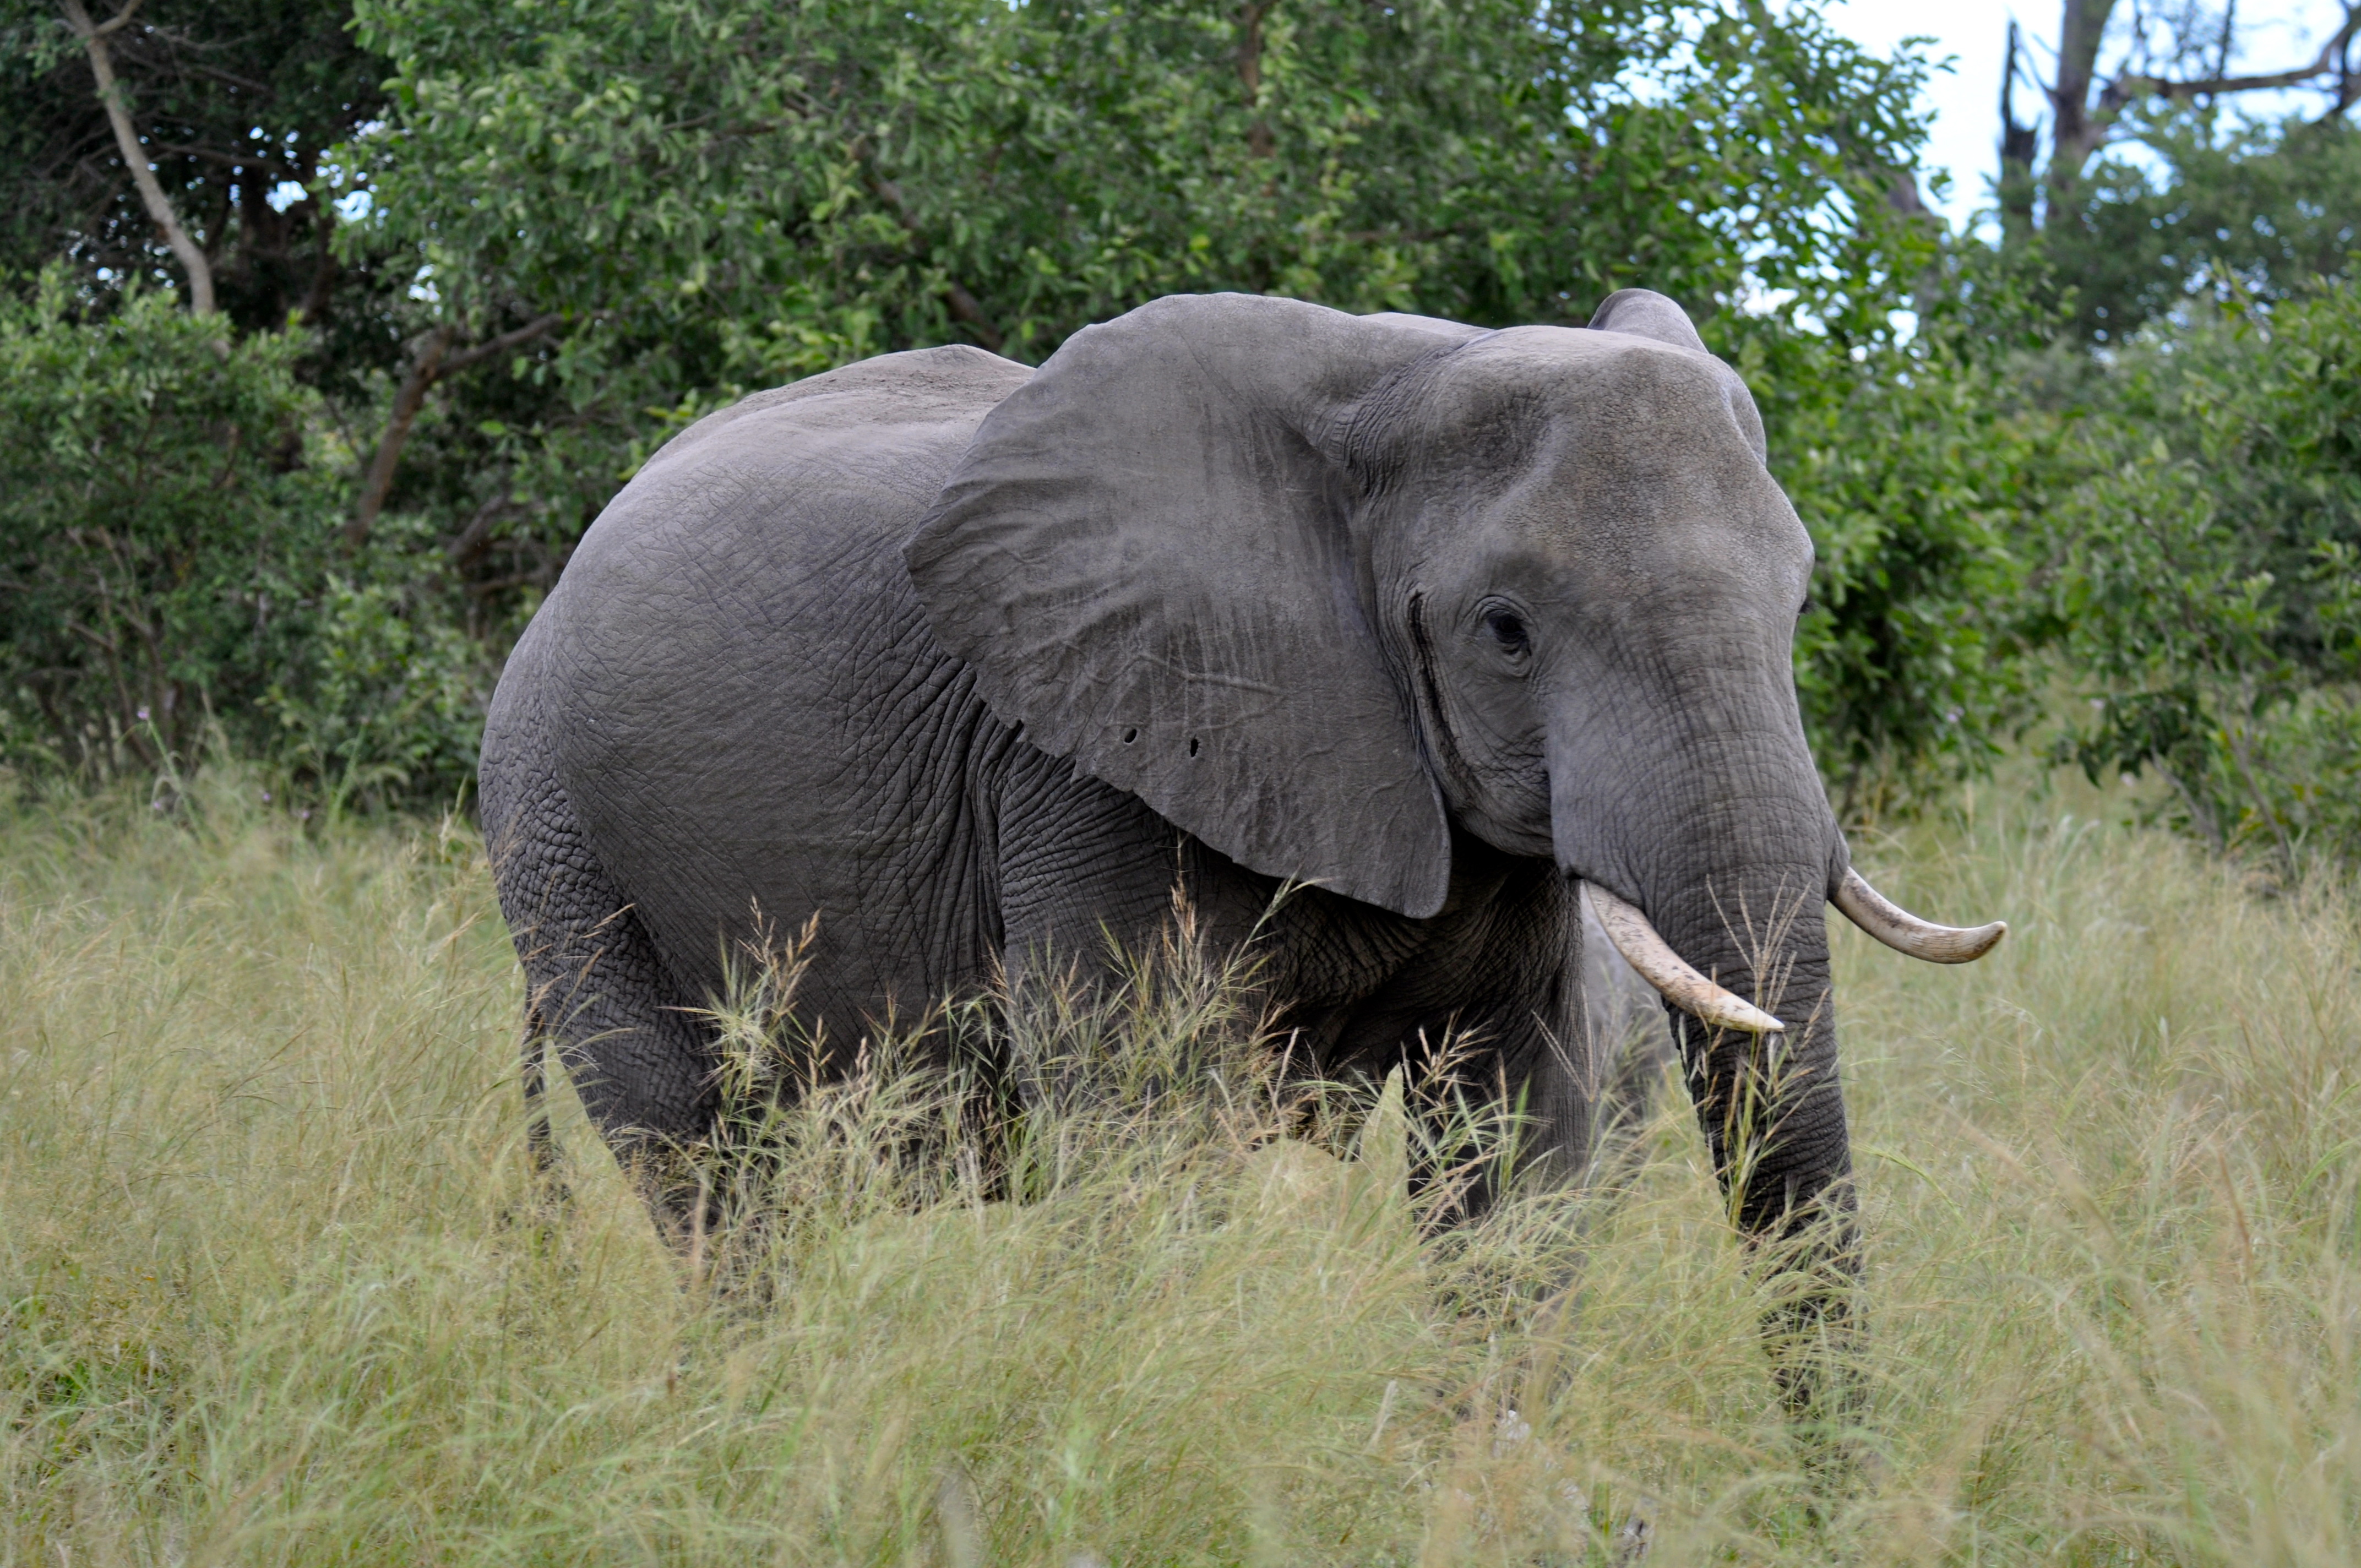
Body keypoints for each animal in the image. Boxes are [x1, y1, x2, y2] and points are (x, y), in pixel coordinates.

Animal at [479, 288, 2003, 1278]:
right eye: (1505, 630)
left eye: (1798, 601)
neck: (1401, 374)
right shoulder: (1089, 764)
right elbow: (1137, 1117)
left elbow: (1510, 1153)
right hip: (555, 833)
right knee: (703, 1170)